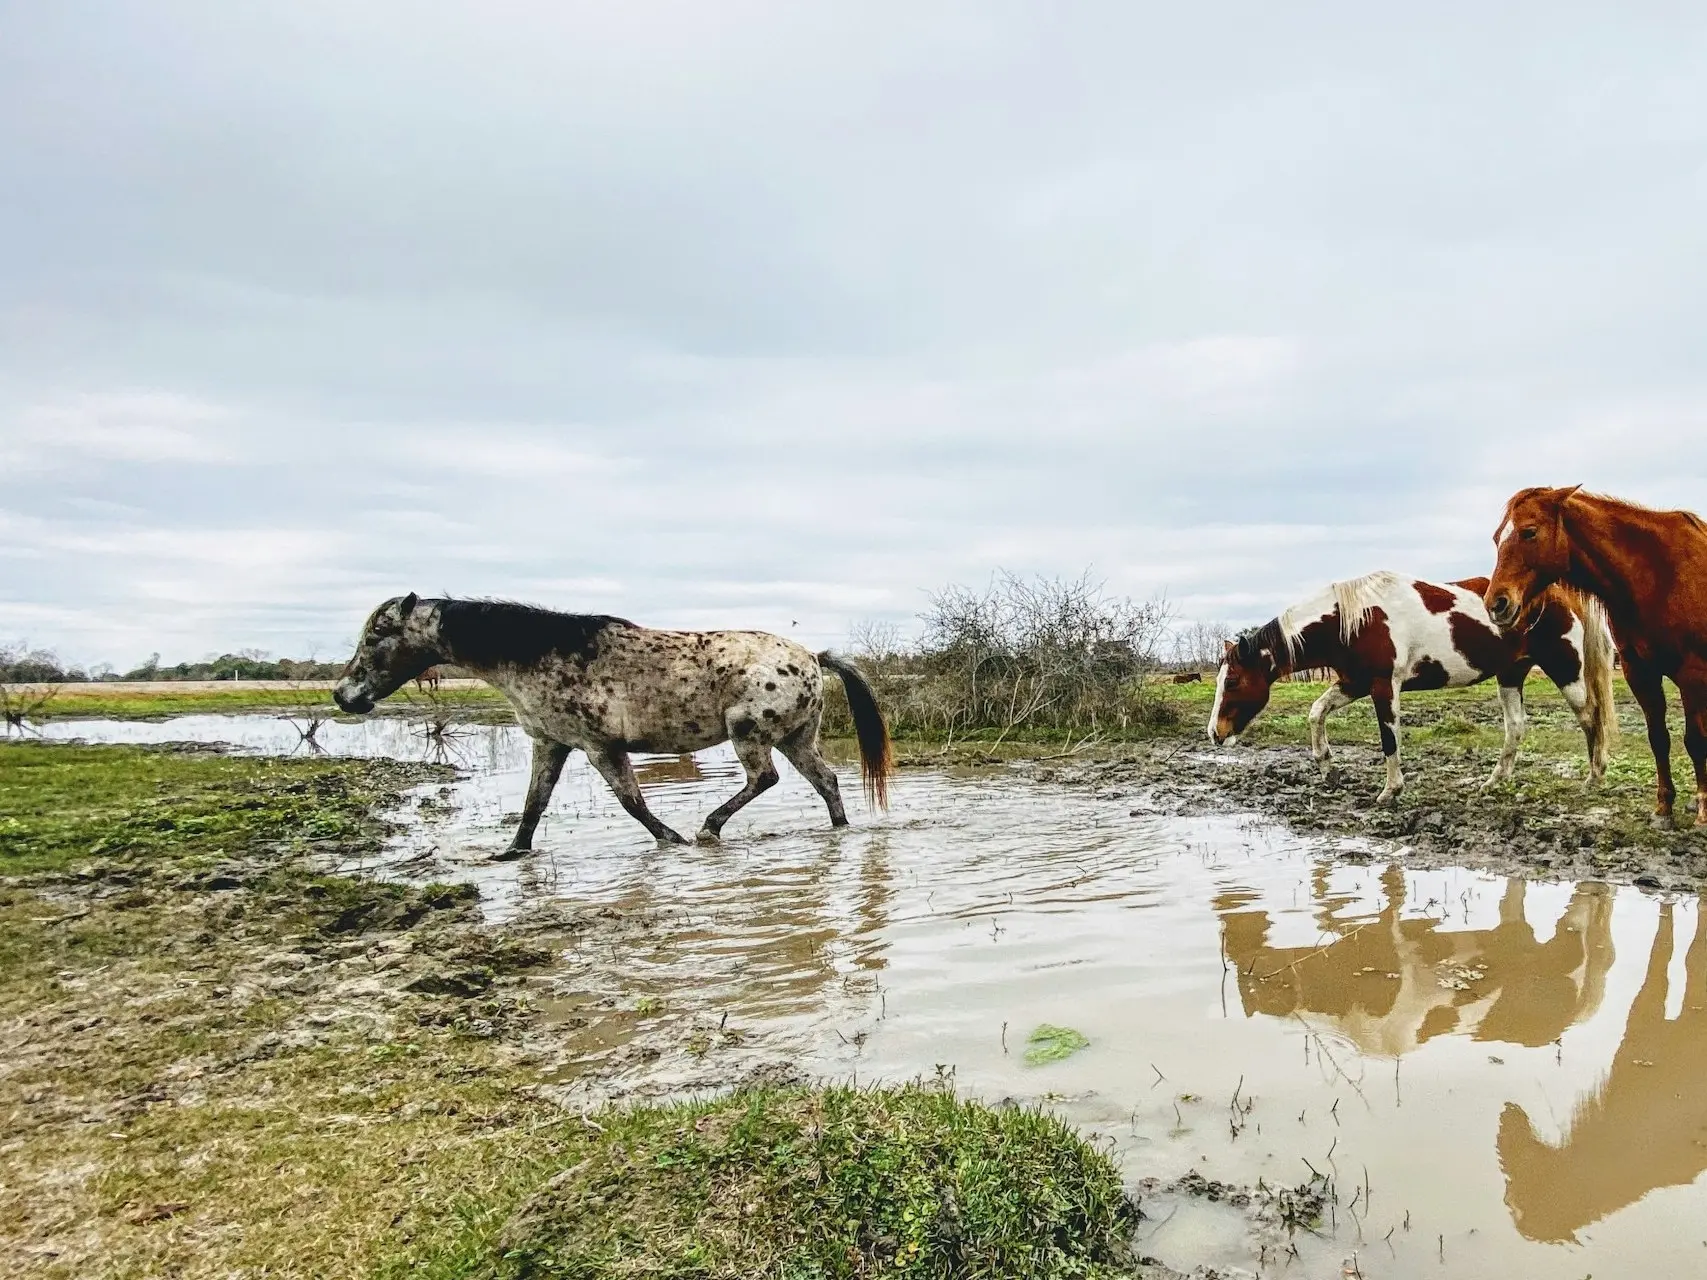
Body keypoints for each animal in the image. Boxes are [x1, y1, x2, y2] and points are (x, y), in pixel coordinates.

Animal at [331, 597, 894, 856]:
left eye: (377, 635)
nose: (342, 695)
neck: (537, 656)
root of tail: (812, 657)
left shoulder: (599, 746)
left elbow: (631, 802)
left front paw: (672, 840)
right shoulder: (550, 743)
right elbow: (534, 803)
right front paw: (512, 853)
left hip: (749, 733)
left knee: (764, 779)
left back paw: (708, 829)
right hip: (798, 738)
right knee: (826, 781)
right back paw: (839, 828)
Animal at [1208, 570, 1618, 802]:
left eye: (1233, 679)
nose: (1215, 732)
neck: (1354, 619)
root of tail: (1563, 593)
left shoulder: (1383, 685)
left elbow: (1389, 738)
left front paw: (1390, 791)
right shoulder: (1353, 682)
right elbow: (1315, 713)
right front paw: (1329, 770)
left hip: (1566, 670)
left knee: (1590, 718)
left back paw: (1594, 779)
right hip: (1511, 675)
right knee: (1516, 728)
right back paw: (1493, 783)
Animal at [1481, 484, 1707, 826]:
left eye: (1529, 531)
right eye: (1496, 538)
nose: (1496, 604)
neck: (1658, 574)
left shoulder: (1691, 674)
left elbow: (1695, 741)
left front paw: (1703, 808)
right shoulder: (1639, 672)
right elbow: (1658, 738)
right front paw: (1663, 807)